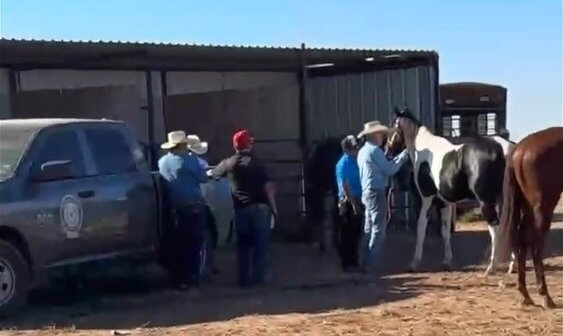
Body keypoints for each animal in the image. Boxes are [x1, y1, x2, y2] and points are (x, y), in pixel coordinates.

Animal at [388, 109, 516, 274]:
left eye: (393, 126)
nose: (388, 150)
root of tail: (503, 149)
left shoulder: (425, 200)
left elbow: (421, 228)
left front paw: (414, 263)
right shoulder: (445, 203)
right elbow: (445, 232)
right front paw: (447, 262)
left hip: (486, 201)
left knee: (495, 228)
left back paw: (491, 267)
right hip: (504, 200)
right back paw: (512, 266)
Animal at [500, 125, 560, 308]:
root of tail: (520, 149)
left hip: (528, 208)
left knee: (523, 240)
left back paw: (525, 294)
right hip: (543, 207)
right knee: (536, 244)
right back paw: (545, 296)